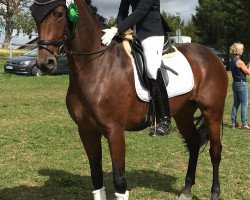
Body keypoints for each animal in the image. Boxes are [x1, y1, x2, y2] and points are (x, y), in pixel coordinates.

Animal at [31, 0, 229, 199]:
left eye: (59, 14)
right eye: (34, 15)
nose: (45, 63)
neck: (96, 67)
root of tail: (213, 55)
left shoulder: (115, 131)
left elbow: (119, 180)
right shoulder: (86, 130)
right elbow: (96, 176)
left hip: (212, 112)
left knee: (215, 150)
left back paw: (214, 192)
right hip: (184, 113)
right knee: (193, 144)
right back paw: (186, 190)